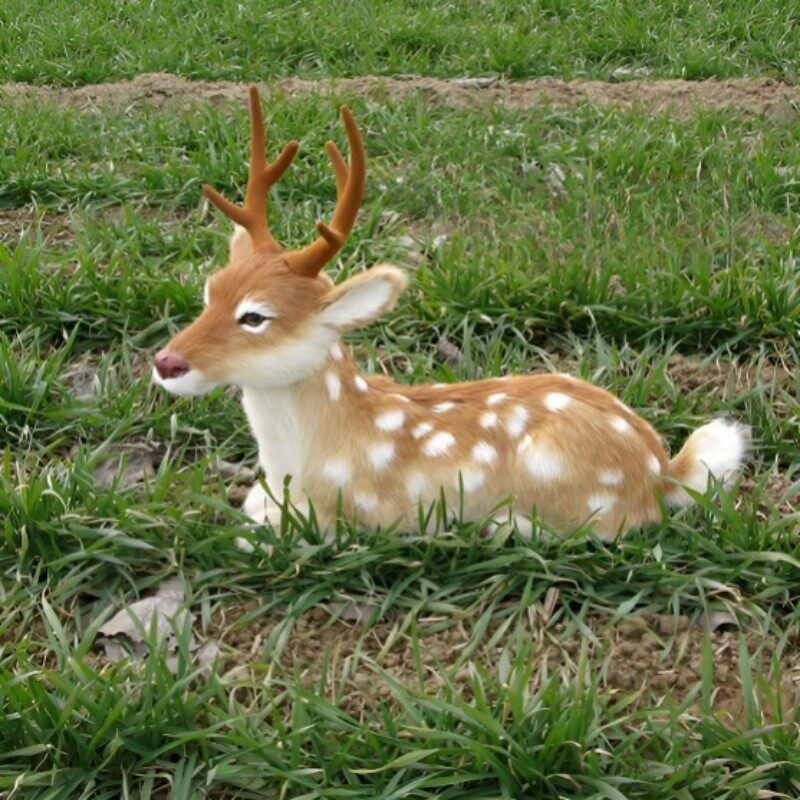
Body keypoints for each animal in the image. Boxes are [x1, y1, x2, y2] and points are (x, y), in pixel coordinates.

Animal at [153, 86, 748, 540]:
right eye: (209, 292)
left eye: (255, 316)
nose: (166, 363)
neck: (301, 463)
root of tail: (663, 472)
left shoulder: (364, 515)